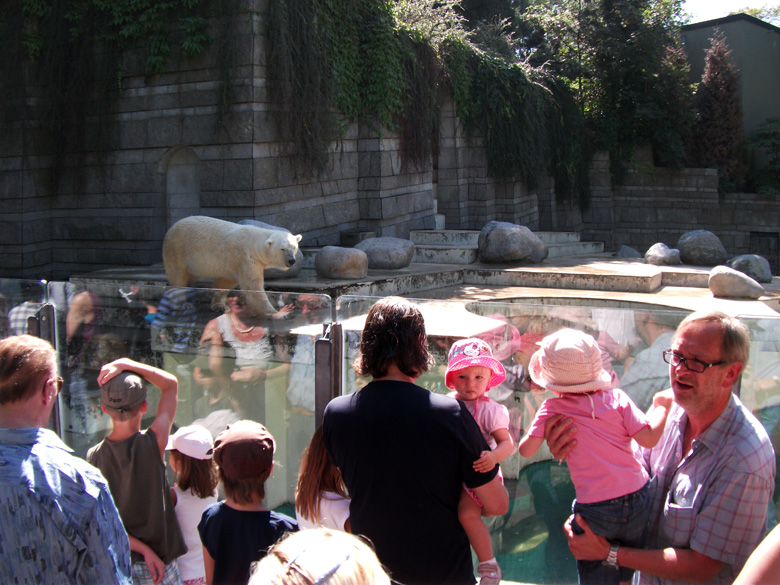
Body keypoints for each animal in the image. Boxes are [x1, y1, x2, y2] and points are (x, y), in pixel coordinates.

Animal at [162, 216, 302, 314]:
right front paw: (276, 313)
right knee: (178, 276)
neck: (255, 243)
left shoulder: (233, 264)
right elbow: (252, 286)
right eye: (282, 249)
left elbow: (225, 282)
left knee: (189, 277)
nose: (291, 260)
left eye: (294, 247)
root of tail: (170, 229)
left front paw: (219, 305)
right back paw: (182, 304)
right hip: (178, 250)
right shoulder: (246, 258)